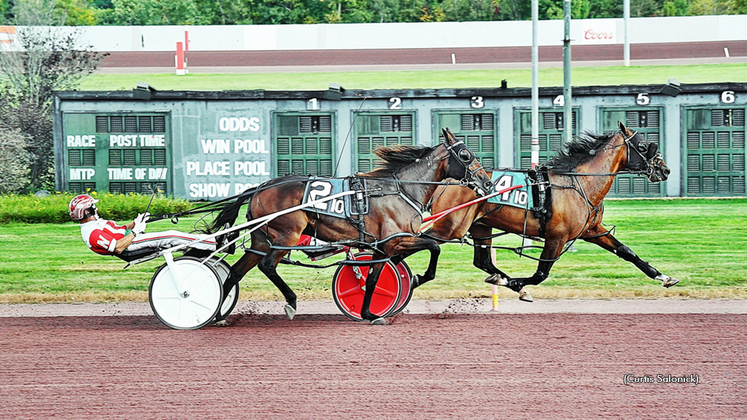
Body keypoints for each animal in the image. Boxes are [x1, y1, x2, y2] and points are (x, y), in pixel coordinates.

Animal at [207, 128, 494, 324]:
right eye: (466, 155)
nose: (488, 182)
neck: (401, 189)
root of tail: (260, 188)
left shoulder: (382, 246)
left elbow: (375, 277)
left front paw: (369, 312)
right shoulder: (394, 239)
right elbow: (434, 247)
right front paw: (417, 278)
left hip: (261, 239)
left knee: (237, 271)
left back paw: (218, 314)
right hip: (285, 235)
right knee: (267, 266)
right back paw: (290, 302)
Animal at [410, 121, 676, 302]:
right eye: (643, 145)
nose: (665, 169)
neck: (579, 183)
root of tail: (444, 182)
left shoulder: (592, 230)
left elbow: (627, 252)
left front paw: (664, 277)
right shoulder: (556, 236)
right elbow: (541, 273)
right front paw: (517, 283)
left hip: (480, 226)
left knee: (483, 260)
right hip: (450, 227)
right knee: (424, 242)